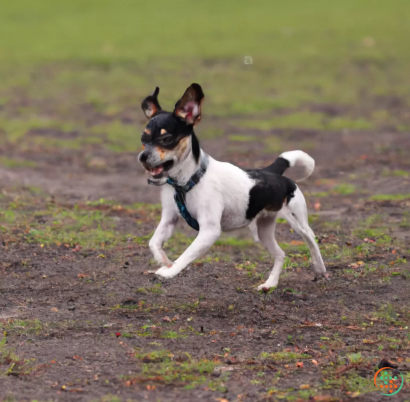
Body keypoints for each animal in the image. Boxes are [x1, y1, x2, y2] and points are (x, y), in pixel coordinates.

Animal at [139, 83, 328, 288]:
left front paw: (169, 272)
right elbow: (153, 242)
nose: (142, 157)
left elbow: (186, 254)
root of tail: (273, 171)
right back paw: (269, 285)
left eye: (166, 139)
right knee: (280, 254)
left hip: (298, 221)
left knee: (312, 242)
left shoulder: (210, 231)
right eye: (143, 140)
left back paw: (320, 270)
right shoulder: (169, 218)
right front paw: (165, 261)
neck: (187, 181)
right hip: (263, 230)